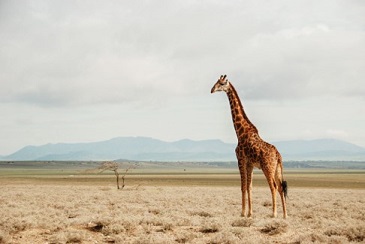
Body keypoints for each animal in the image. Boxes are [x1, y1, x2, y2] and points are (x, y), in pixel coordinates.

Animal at [210, 75, 288, 219]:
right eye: (216, 82)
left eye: (222, 83)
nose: (212, 89)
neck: (240, 132)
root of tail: (277, 154)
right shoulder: (250, 163)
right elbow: (249, 187)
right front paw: (250, 213)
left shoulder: (240, 160)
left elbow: (243, 186)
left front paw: (242, 213)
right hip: (277, 169)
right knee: (281, 187)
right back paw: (285, 215)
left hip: (267, 167)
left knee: (274, 187)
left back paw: (274, 213)